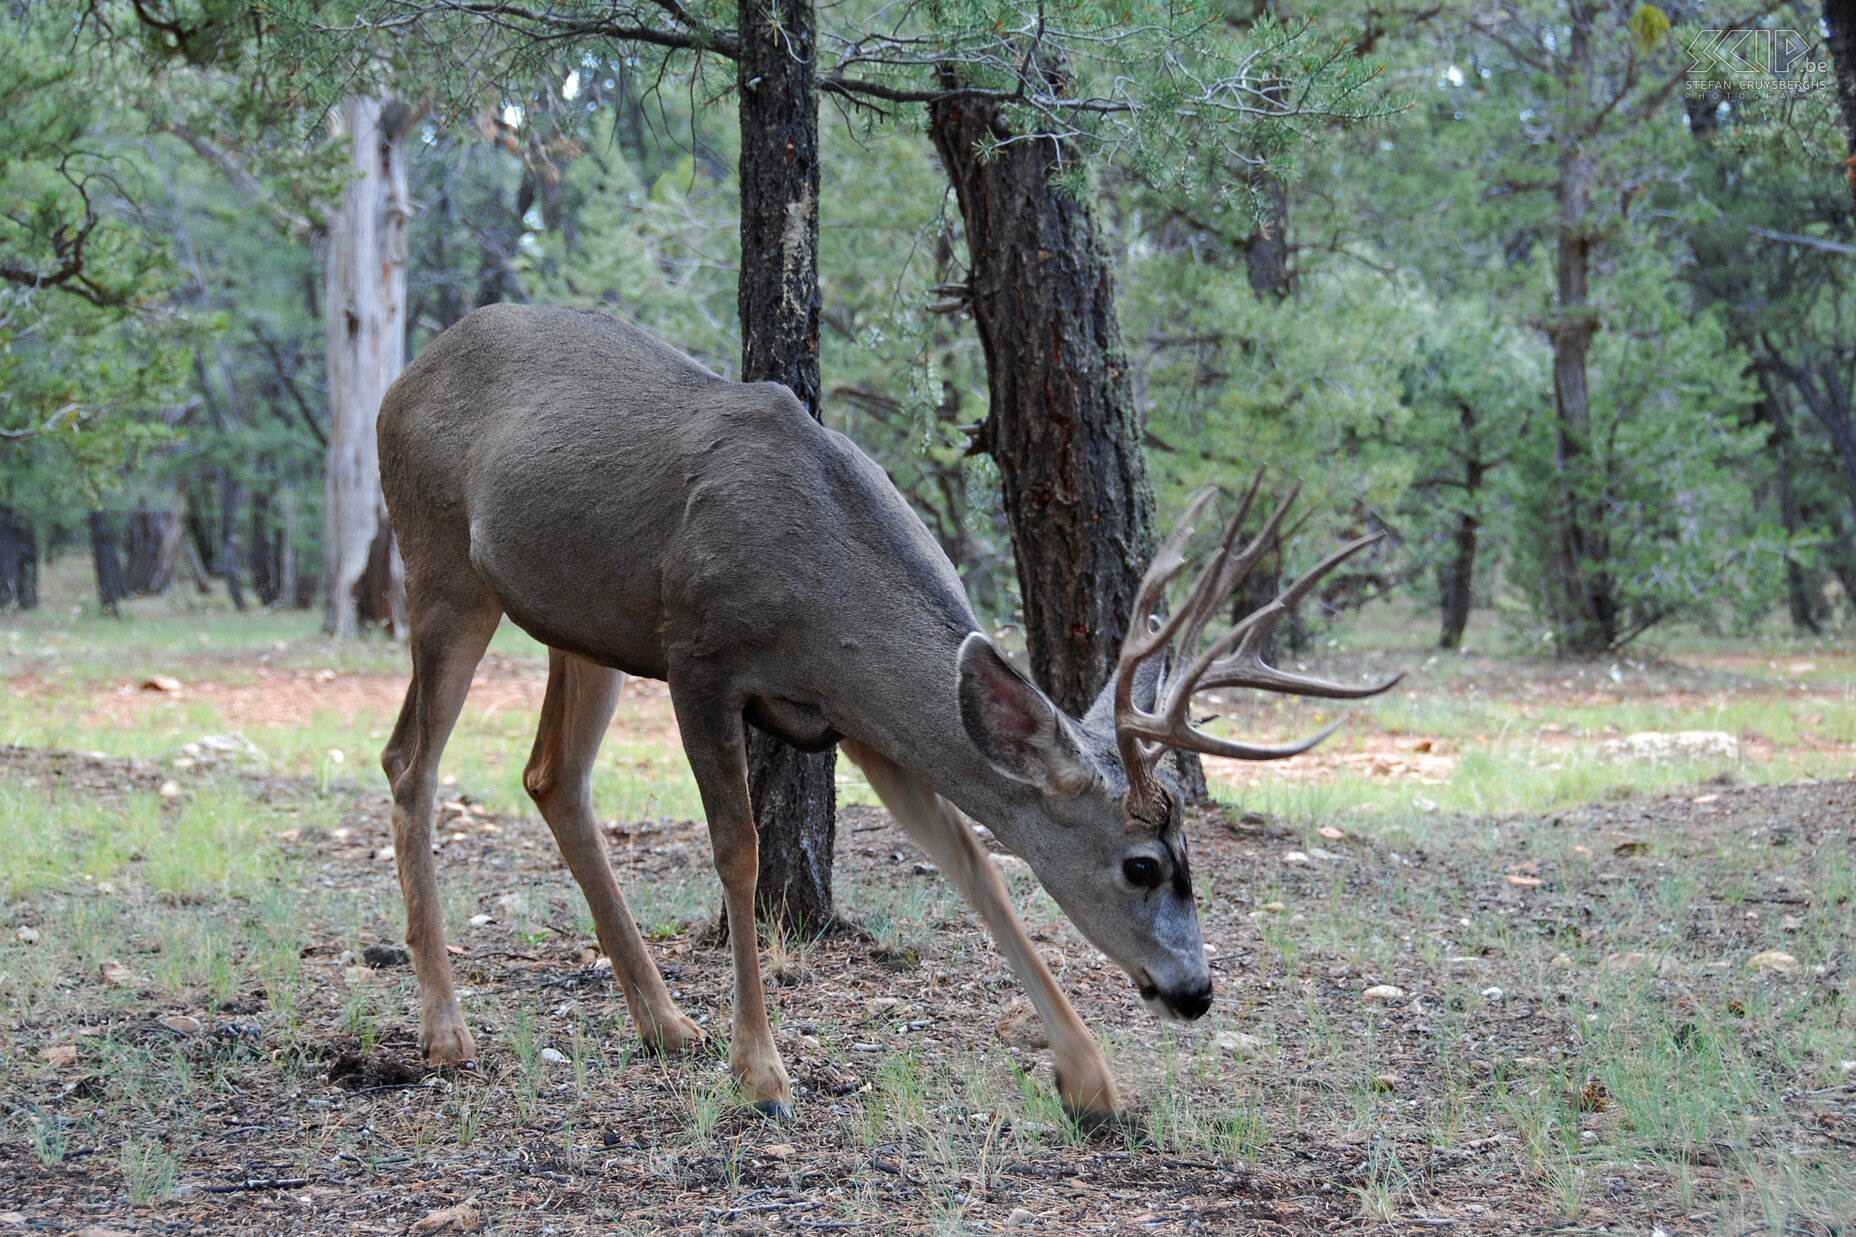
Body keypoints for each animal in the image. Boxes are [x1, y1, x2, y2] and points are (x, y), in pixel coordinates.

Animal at [376, 300, 1395, 1114]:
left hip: (582, 624)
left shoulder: (856, 716)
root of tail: (403, 377)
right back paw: (446, 1029)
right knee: (409, 759)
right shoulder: (701, 657)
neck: (824, 588)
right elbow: (739, 850)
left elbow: (973, 865)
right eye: (1143, 865)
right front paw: (763, 1072)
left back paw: (665, 1022)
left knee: (552, 775)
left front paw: (1092, 1081)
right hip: (441, 562)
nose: (1196, 990)